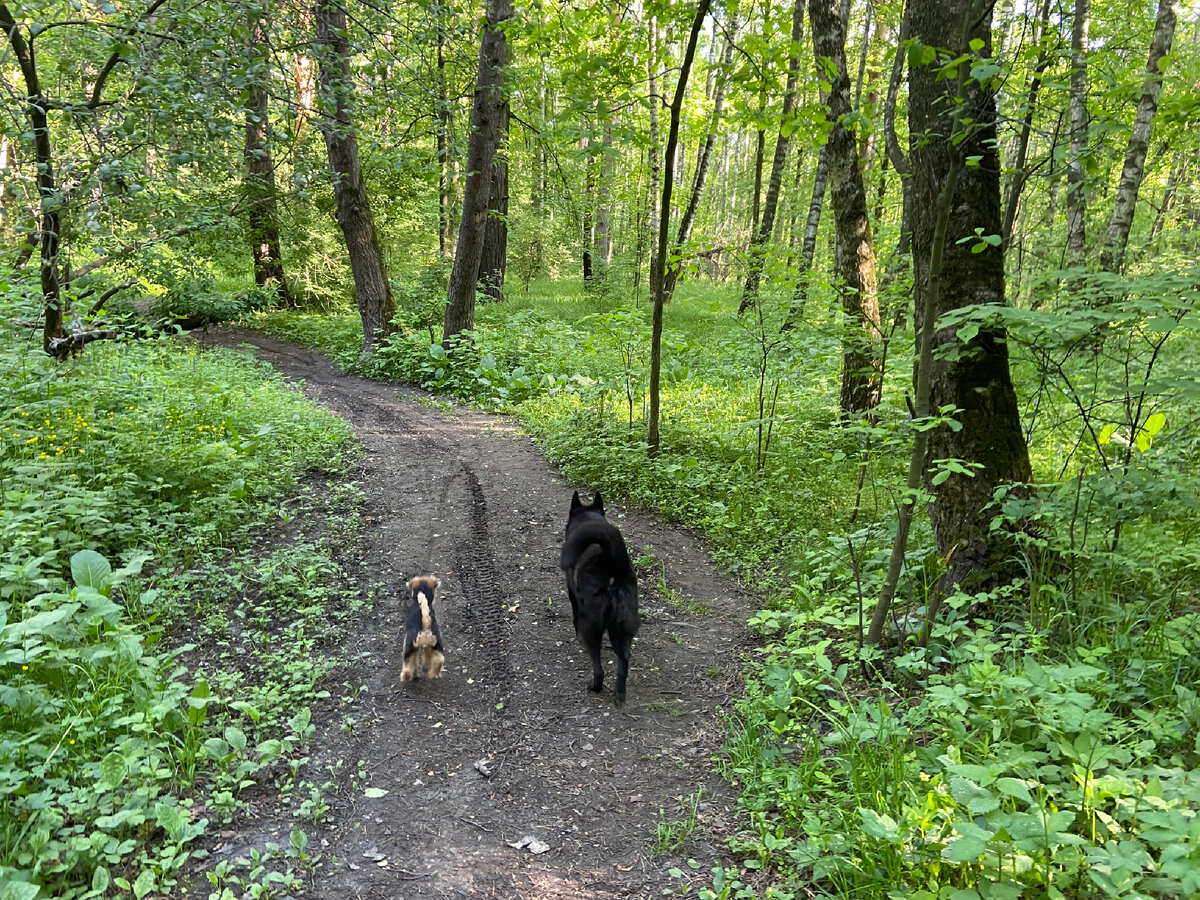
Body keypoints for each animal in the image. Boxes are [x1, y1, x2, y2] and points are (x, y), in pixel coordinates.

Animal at [559, 494, 643, 705]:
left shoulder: (573, 595)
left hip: (593, 623)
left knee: (598, 666)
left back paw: (595, 686)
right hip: (622, 624)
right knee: (624, 657)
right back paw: (619, 693)